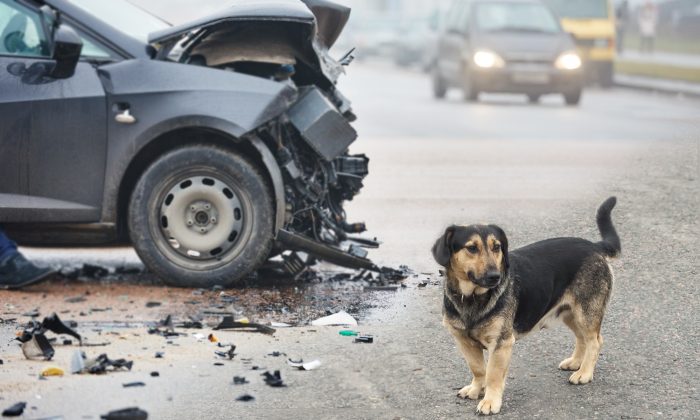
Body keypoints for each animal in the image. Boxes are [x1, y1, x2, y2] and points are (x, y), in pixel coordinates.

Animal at [432, 197, 624, 414]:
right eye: (471, 248)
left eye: (497, 247)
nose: (495, 276)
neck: (472, 297)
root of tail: (594, 246)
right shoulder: (463, 341)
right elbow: (478, 369)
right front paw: (476, 389)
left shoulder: (501, 343)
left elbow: (493, 374)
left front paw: (490, 401)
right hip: (570, 312)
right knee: (582, 338)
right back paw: (576, 363)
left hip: (586, 312)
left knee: (595, 341)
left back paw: (584, 373)